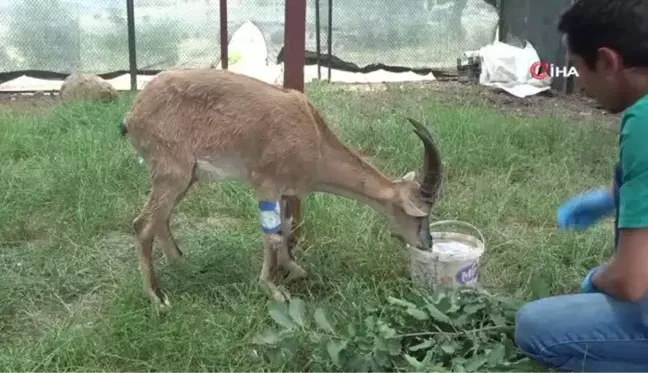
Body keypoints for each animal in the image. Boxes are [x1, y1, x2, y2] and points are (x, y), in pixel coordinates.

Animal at [119, 68, 442, 306]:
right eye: (420, 215)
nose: (427, 244)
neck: (315, 141)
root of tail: (133, 115)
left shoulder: (287, 191)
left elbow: (285, 226)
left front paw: (294, 269)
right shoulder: (266, 185)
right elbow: (271, 236)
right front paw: (273, 289)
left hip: (187, 177)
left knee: (161, 219)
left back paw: (184, 267)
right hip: (172, 171)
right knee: (143, 224)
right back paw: (158, 298)